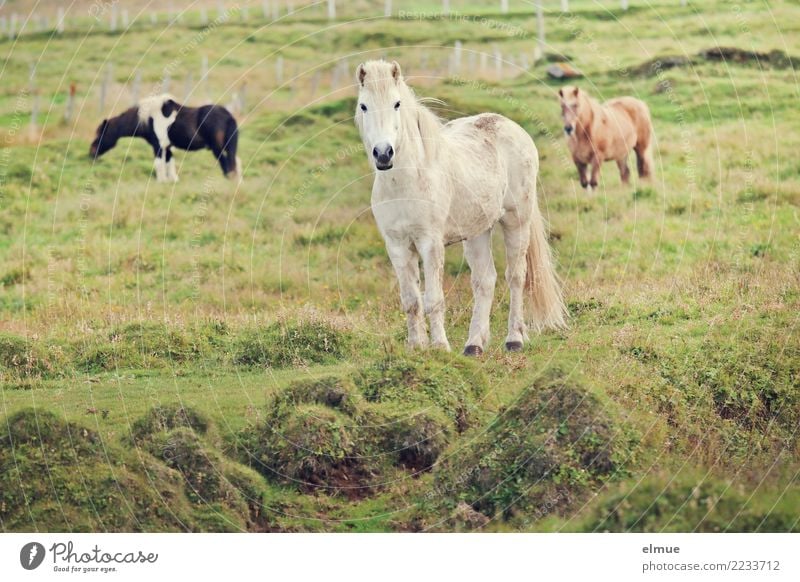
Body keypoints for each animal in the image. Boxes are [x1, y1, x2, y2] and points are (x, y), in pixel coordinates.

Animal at [90, 93, 241, 182]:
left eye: (101, 134)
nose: (91, 153)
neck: (149, 118)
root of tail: (228, 115)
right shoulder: (167, 147)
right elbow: (169, 164)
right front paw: (172, 181)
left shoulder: (158, 146)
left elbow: (159, 164)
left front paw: (161, 181)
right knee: (236, 162)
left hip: (218, 148)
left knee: (226, 164)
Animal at [356, 61, 568, 358]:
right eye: (363, 106)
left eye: (397, 103)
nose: (384, 153)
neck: (405, 181)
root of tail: (510, 126)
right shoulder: (396, 245)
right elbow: (411, 301)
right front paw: (415, 348)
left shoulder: (430, 243)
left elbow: (433, 299)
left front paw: (439, 347)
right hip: (478, 231)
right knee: (485, 280)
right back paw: (474, 345)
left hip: (517, 221)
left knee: (516, 277)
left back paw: (514, 340)